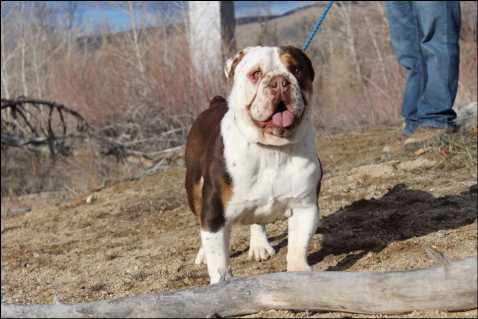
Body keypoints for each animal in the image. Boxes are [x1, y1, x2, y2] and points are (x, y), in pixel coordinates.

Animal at [185, 45, 324, 284]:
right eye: (256, 74)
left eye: (296, 70)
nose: (280, 81)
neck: (271, 149)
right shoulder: (215, 213)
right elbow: (218, 260)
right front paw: (220, 281)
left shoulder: (304, 206)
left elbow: (298, 245)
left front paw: (299, 272)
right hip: (194, 190)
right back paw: (203, 253)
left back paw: (259, 246)